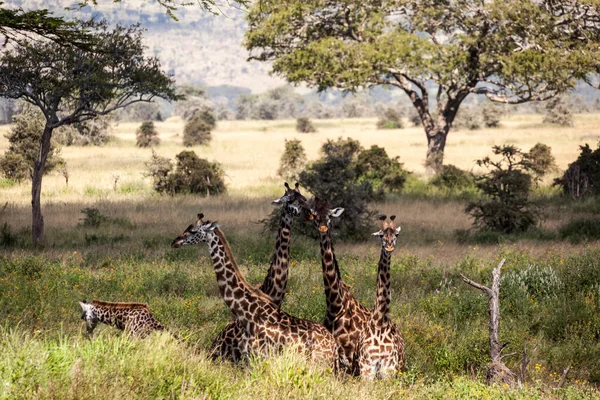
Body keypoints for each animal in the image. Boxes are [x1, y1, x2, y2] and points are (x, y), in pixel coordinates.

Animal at [172, 214, 342, 368]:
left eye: (193, 231)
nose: (175, 242)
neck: (248, 315)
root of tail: (333, 346)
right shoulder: (247, 357)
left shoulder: (259, 357)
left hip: (318, 364)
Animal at [354, 214, 406, 380]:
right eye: (381, 235)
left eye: (396, 235)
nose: (389, 247)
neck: (379, 322)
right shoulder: (366, 368)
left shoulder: (389, 368)